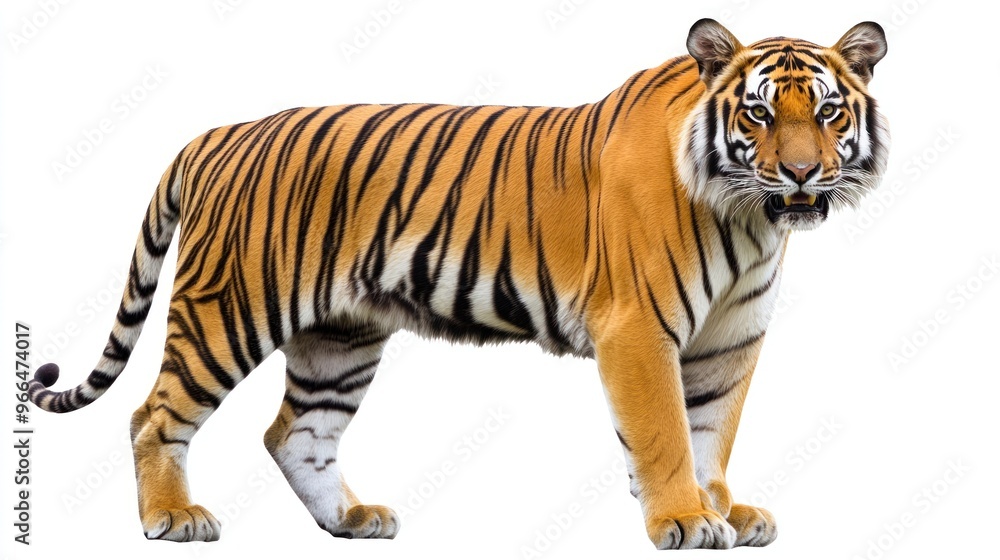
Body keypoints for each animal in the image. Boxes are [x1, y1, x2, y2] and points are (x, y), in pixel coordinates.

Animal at [28, 18, 888, 549]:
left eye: (828, 112)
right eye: (759, 116)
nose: (803, 173)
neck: (749, 218)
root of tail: (220, 132)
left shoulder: (728, 342)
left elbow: (712, 433)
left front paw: (722, 512)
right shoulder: (639, 328)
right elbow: (667, 434)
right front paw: (682, 520)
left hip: (341, 337)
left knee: (294, 432)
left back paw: (351, 519)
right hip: (229, 308)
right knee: (153, 414)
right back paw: (174, 518)